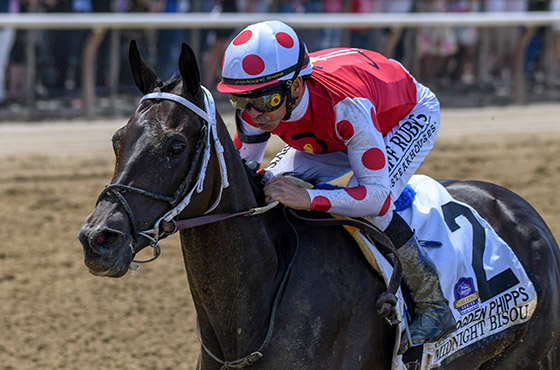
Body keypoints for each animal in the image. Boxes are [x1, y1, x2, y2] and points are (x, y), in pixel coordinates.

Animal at [77, 42, 560, 368]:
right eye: (117, 139)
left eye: (175, 146)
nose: (97, 239)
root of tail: (525, 213)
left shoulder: (354, 114)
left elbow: (375, 194)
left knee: (381, 201)